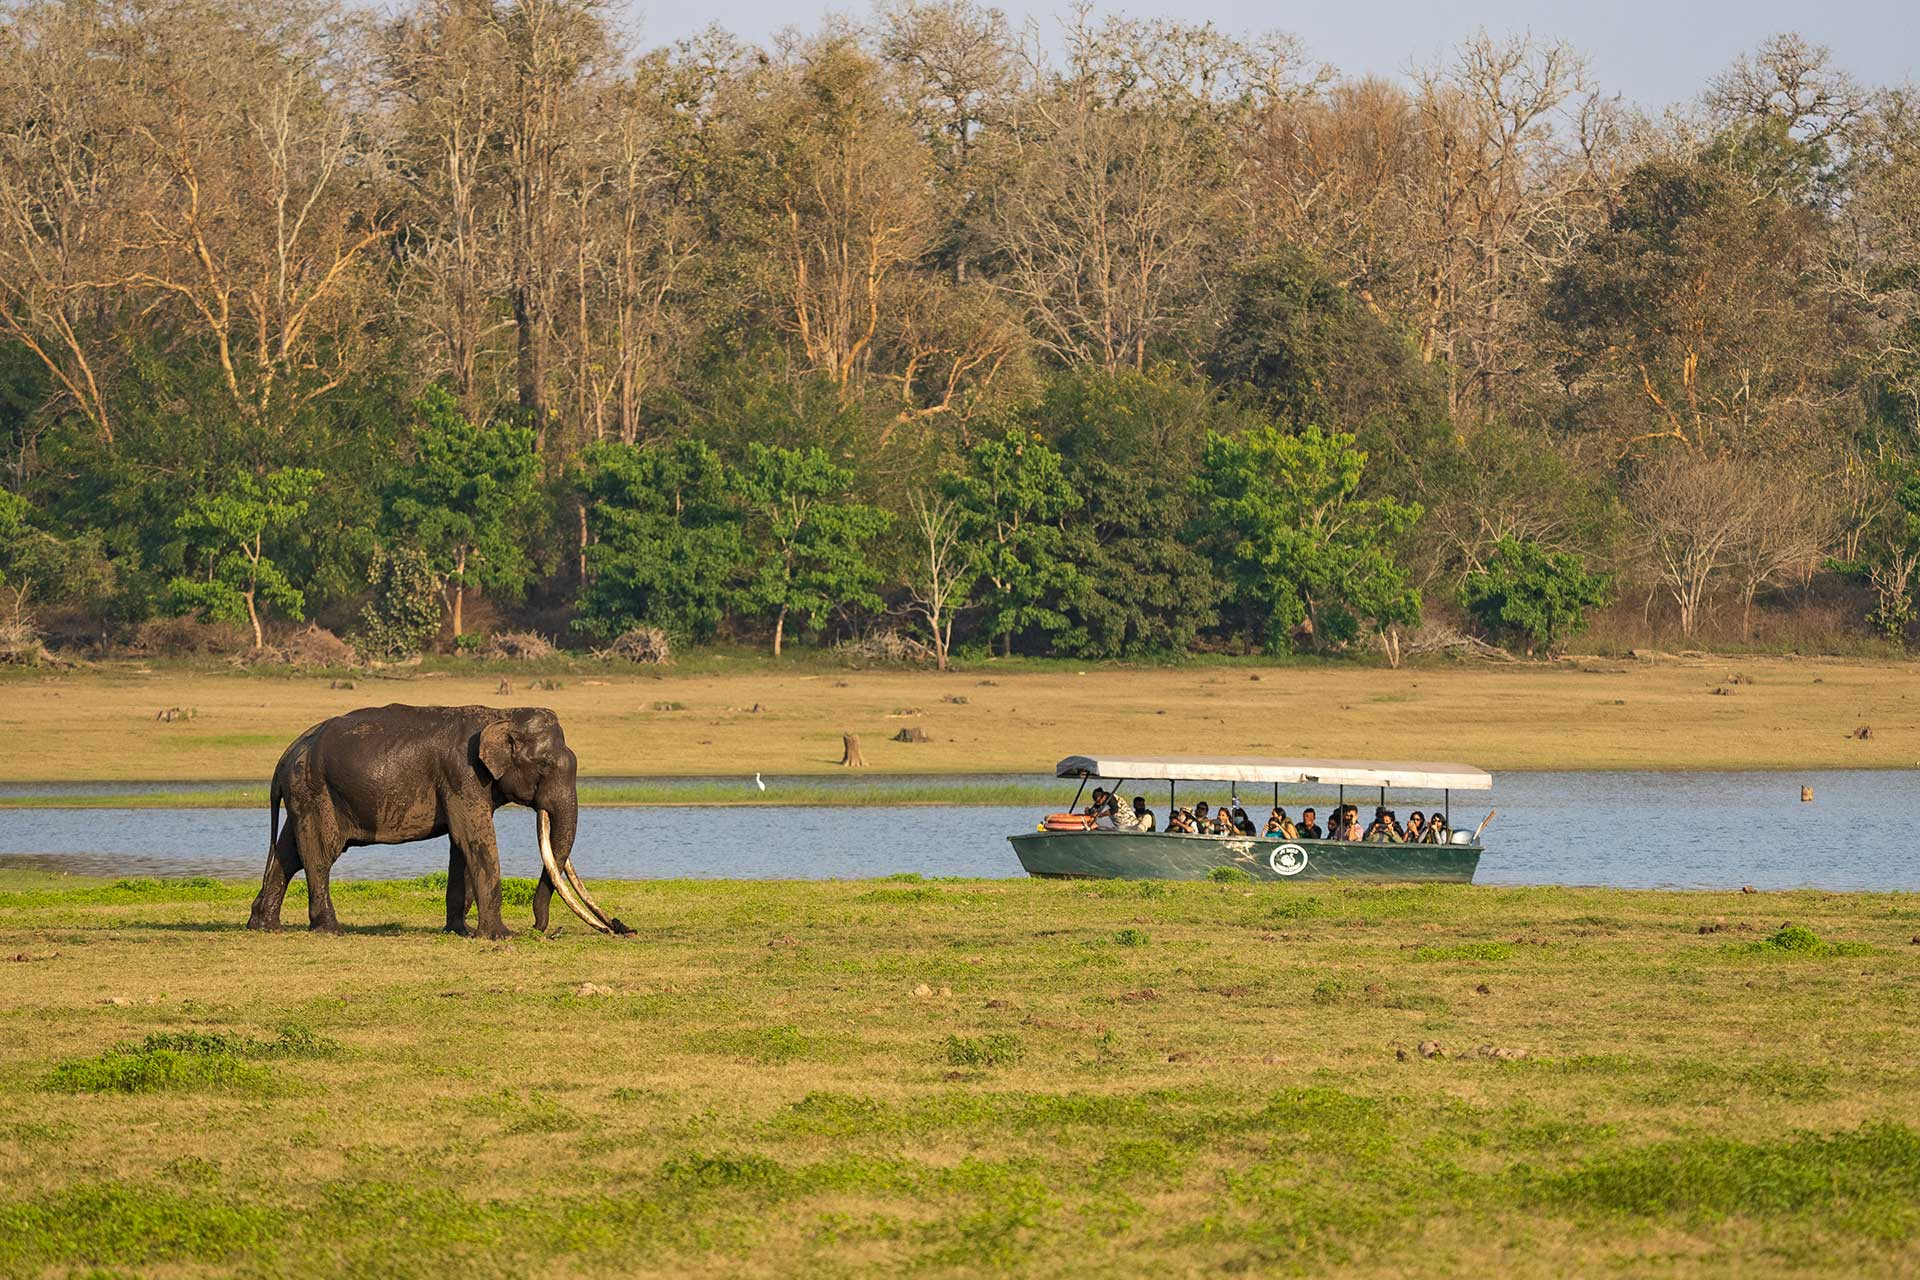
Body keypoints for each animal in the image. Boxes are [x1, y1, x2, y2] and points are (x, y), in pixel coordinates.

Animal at [247, 703, 632, 938]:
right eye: (545, 768)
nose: (540, 928)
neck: (501, 715)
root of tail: (287, 754)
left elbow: (460, 847)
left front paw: (460, 932)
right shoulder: (462, 773)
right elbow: (475, 838)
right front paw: (500, 936)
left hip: (304, 793)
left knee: (289, 852)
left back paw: (264, 925)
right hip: (316, 790)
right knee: (319, 854)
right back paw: (329, 929)